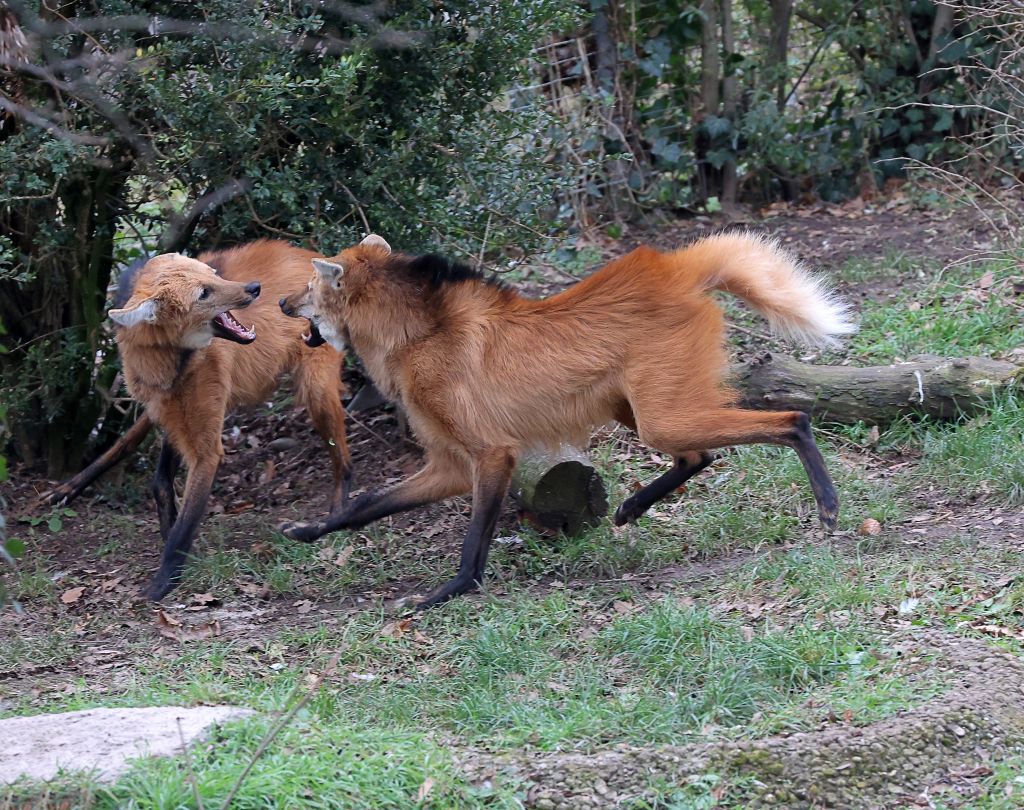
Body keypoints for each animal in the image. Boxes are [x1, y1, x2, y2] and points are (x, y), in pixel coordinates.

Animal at [110, 237, 354, 598]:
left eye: (213, 275)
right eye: (204, 293)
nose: (254, 288)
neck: (170, 360)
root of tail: (315, 257)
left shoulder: (208, 451)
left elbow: (185, 524)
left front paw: (163, 582)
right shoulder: (169, 412)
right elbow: (161, 483)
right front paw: (171, 539)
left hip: (316, 392)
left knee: (344, 461)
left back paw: (336, 516)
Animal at [276, 231, 851, 606]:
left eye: (307, 289)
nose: (281, 302)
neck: (415, 335)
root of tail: (672, 267)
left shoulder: (491, 453)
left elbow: (473, 539)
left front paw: (451, 591)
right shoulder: (451, 464)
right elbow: (366, 505)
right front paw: (307, 530)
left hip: (659, 416)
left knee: (791, 419)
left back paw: (826, 504)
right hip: (635, 408)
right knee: (698, 453)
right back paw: (631, 507)